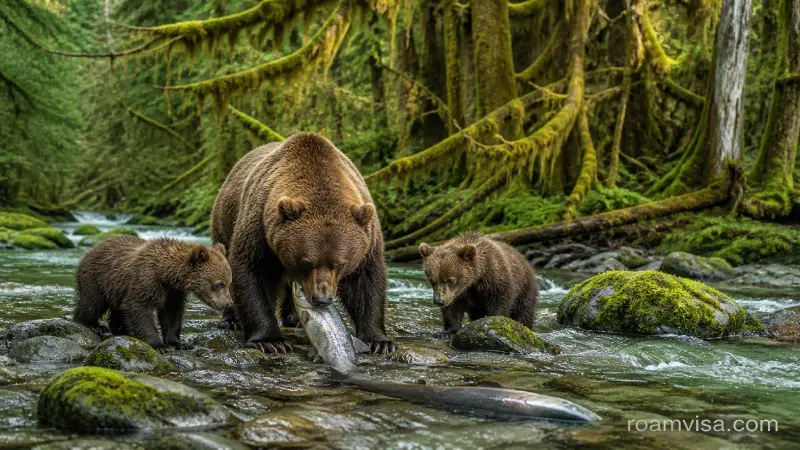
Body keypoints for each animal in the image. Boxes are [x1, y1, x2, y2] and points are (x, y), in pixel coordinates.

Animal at [73, 236, 232, 351]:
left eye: (229, 282)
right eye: (219, 284)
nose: (228, 304)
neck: (166, 273)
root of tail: (93, 248)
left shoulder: (173, 291)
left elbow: (171, 313)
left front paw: (179, 343)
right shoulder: (147, 278)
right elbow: (138, 306)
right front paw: (160, 346)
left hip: (117, 288)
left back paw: (121, 329)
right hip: (97, 277)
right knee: (93, 303)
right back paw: (93, 325)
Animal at [210, 132, 394, 354]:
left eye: (340, 264)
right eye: (307, 262)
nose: (322, 299)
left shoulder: (368, 236)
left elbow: (367, 280)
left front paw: (379, 341)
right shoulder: (259, 227)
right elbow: (251, 272)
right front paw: (270, 341)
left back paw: (293, 318)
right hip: (224, 222)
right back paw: (231, 320)